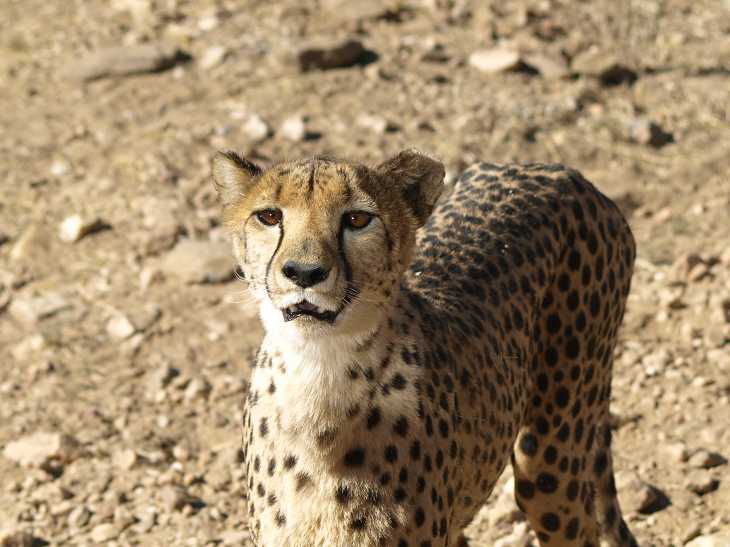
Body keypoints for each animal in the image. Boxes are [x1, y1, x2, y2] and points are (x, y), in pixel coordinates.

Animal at [211, 148, 639, 547]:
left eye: (357, 219)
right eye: (269, 216)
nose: (304, 272)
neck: (319, 371)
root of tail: (558, 170)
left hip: (552, 456)